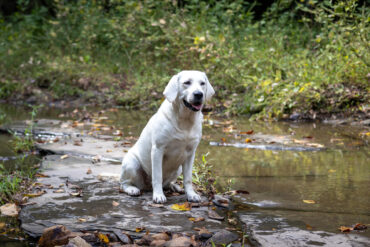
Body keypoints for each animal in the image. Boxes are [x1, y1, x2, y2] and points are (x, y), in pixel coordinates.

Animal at [120, 70, 215, 203]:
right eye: (187, 82)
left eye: (202, 83)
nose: (199, 94)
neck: (185, 120)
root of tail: (147, 187)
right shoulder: (158, 150)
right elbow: (157, 176)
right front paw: (158, 195)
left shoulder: (190, 153)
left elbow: (188, 179)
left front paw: (191, 194)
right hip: (132, 164)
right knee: (124, 183)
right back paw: (132, 189)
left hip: (178, 168)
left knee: (167, 183)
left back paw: (174, 186)